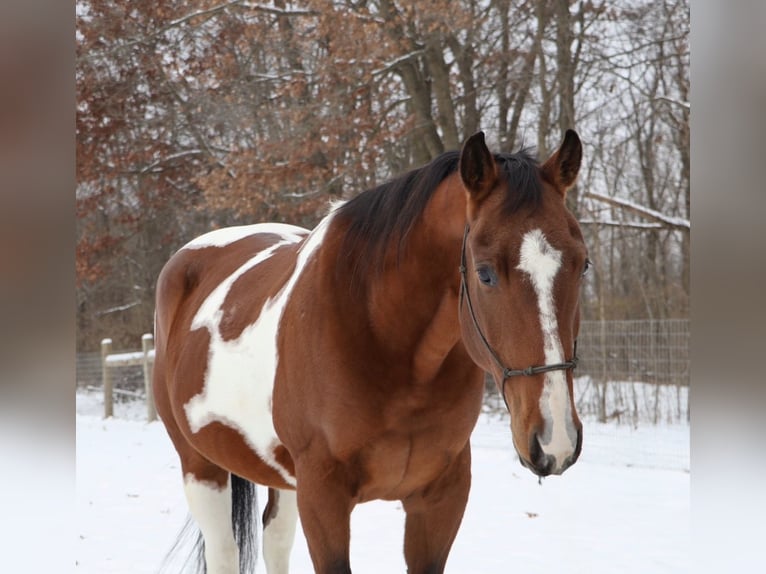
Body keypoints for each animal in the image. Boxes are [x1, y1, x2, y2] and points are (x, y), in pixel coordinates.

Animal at [152, 129, 588, 574]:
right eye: (484, 273)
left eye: (583, 265)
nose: (555, 438)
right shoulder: (323, 496)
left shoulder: (440, 498)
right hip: (201, 467)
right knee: (223, 550)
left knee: (275, 540)